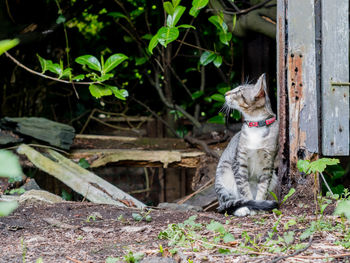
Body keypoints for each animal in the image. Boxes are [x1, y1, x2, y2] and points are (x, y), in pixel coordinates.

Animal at [213, 73, 278, 217]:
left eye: (238, 91)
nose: (225, 93)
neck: (256, 126)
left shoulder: (269, 163)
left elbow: (263, 188)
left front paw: (259, 205)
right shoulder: (239, 161)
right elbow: (244, 189)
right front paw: (250, 206)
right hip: (223, 174)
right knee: (226, 202)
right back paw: (240, 209)